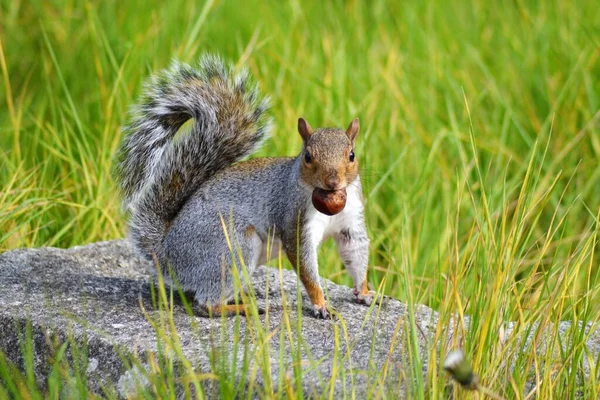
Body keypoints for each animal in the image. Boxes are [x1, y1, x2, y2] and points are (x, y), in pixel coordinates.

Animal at [116, 55, 376, 318]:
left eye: (352, 155)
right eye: (308, 157)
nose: (332, 182)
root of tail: (166, 253)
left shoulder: (351, 222)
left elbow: (356, 254)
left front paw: (364, 293)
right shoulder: (295, 220)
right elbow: (306, 267)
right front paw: (321, 304)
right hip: (233, 246)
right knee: (206, 303)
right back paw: (243, 307)